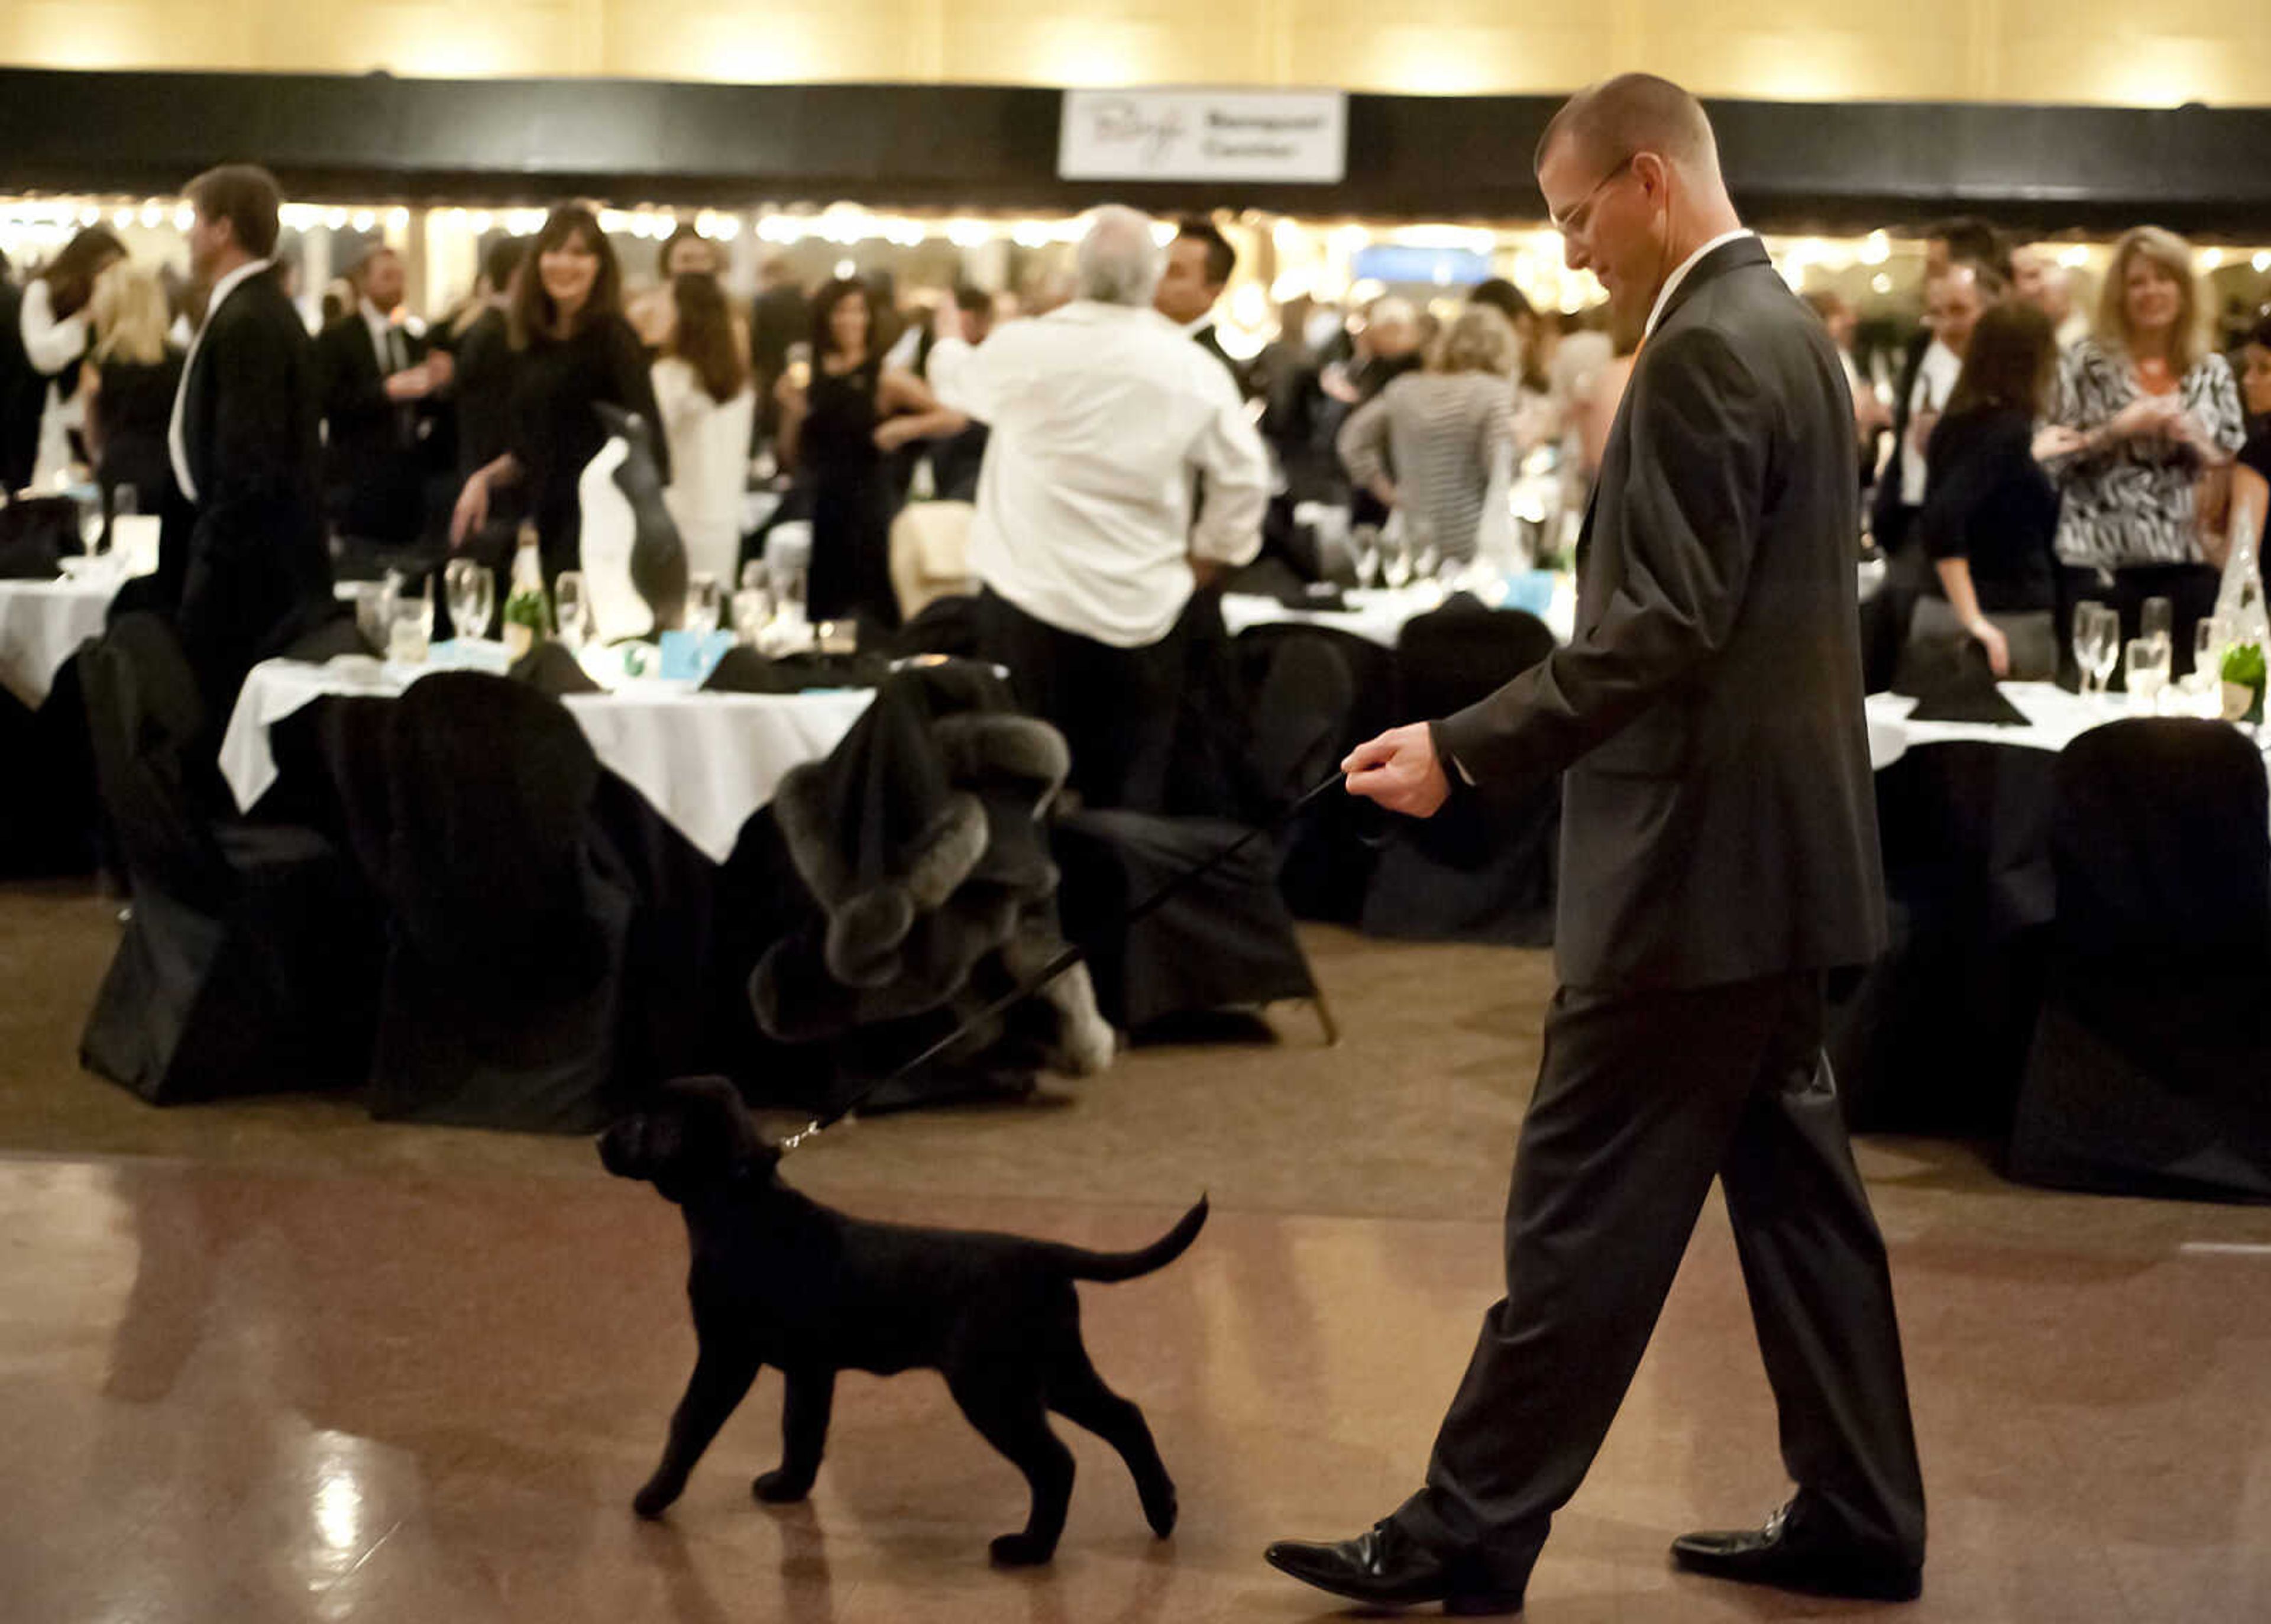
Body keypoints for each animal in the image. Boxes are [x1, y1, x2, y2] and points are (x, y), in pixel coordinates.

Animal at [599, 1081, 1208, 1562]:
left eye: (640, 1120)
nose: (600, 1139)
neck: (737, 1201)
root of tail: (1042, 1255)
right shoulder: (810, 1370)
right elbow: (801, 1431)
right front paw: (788, 1487)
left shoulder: (726, 1356)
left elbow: (687, 1426)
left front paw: (652, 1497)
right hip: (1054, 1373)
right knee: (1125, 1417)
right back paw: (1162, 1511)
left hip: (995, 1389)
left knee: (1057, 1463)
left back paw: (1030, 1550)